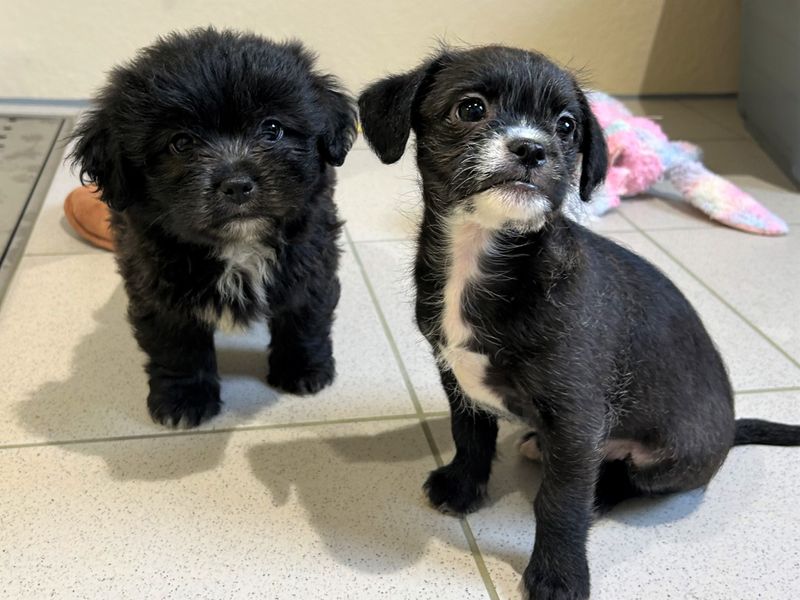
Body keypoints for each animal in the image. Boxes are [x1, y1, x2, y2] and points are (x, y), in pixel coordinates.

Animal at [72, 29, 356, 426]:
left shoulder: (311, 262)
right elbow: (178, 348)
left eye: (272, 128)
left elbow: (305, 318)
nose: (237, 184)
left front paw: (304, 370)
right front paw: (184, 401)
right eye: (180, 142)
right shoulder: (157, 288)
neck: (238, 247)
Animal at [358, 47, 800, 600]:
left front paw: (558, 574)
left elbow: (560, 502)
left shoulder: (576, 418)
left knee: (630, 479)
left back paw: (602, 489)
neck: (485, 253)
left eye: (566, 126)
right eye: (471, 108)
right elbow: (470, 435)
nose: (532, 148)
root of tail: (729, 430)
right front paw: (462, 488)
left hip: (675, 454)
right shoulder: (456, 377)